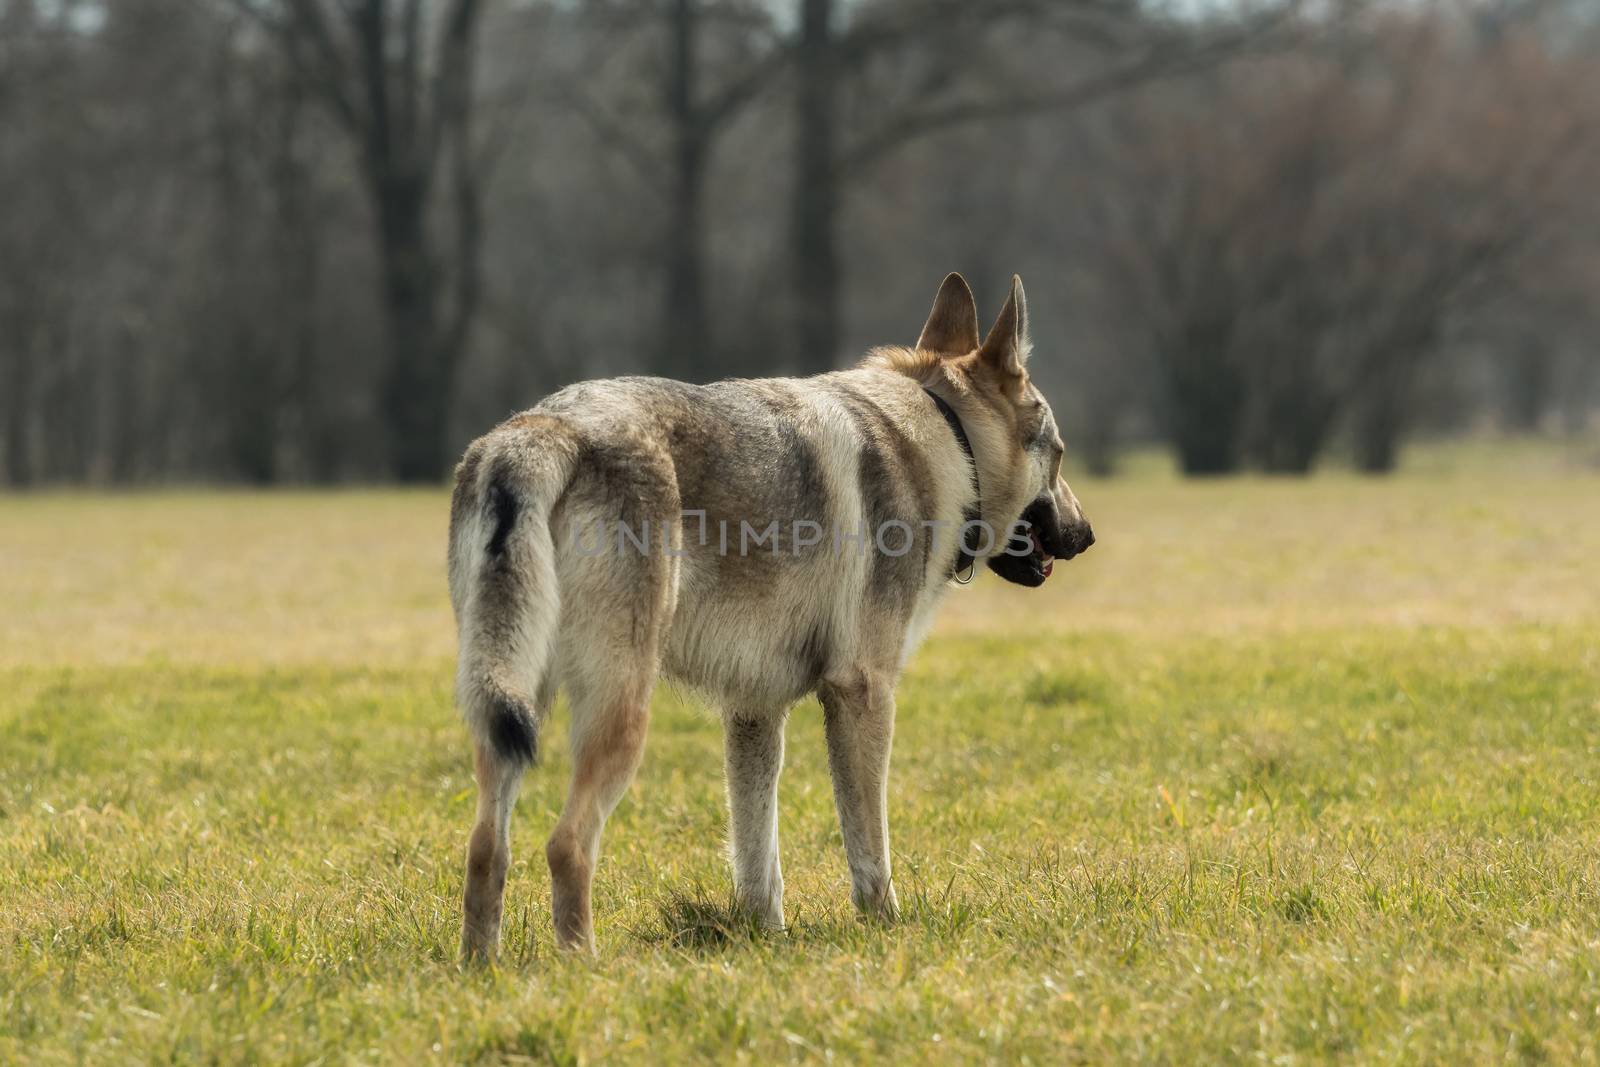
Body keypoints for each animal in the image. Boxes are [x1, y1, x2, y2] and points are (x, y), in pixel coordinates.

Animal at [451, 275, 1100, 959]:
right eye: (1059, 456)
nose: (1088, 535)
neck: (944, 438)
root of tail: (543, 426)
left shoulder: (754, 710)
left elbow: (757, 860)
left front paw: (767, 943)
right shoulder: (863, 692)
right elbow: (870, 851)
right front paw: (889, 933)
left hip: (512, 716)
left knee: (486, 848)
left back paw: (483, 969)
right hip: (620, 713)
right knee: (566, 845)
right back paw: (585, 969)